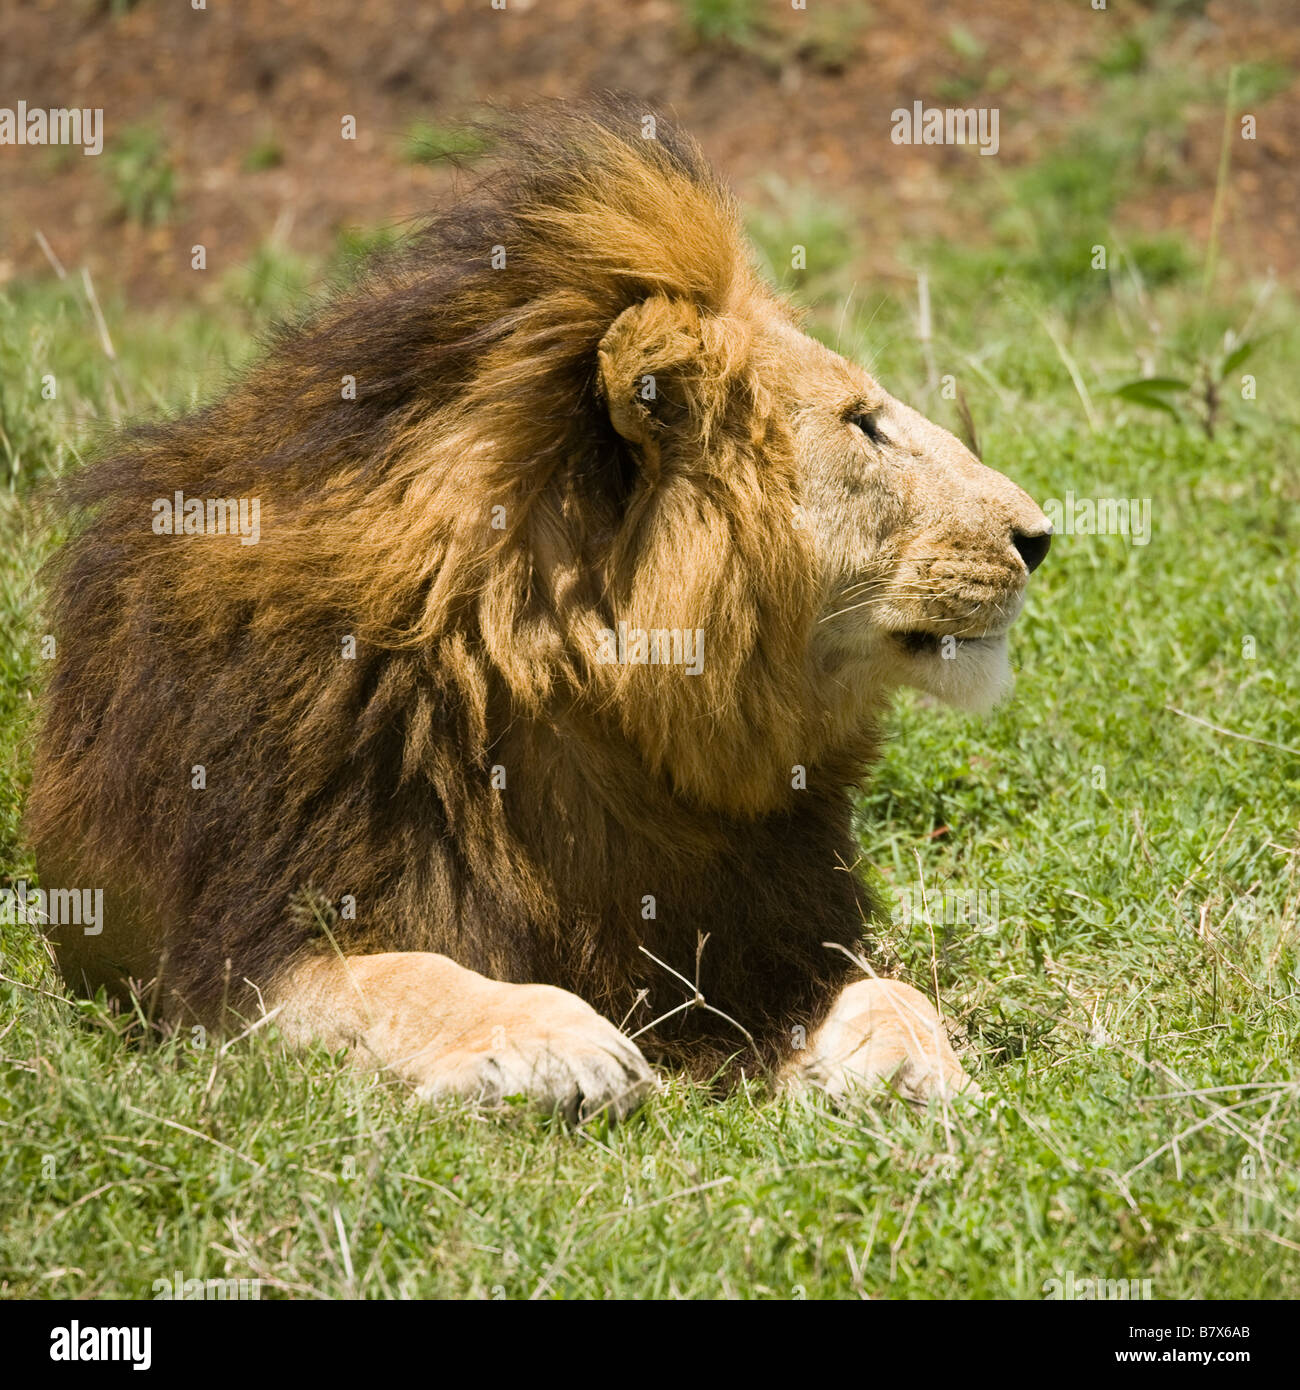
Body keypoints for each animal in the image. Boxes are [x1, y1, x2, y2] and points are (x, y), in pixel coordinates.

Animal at [29, 99, 1050, 1121]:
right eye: (862, 423)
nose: (1040, 536)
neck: (581, 690)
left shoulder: (763, 934)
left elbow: (892, 986)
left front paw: (908, 1064)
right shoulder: (231, 950)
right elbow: (398, 975)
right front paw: (557, 1041)